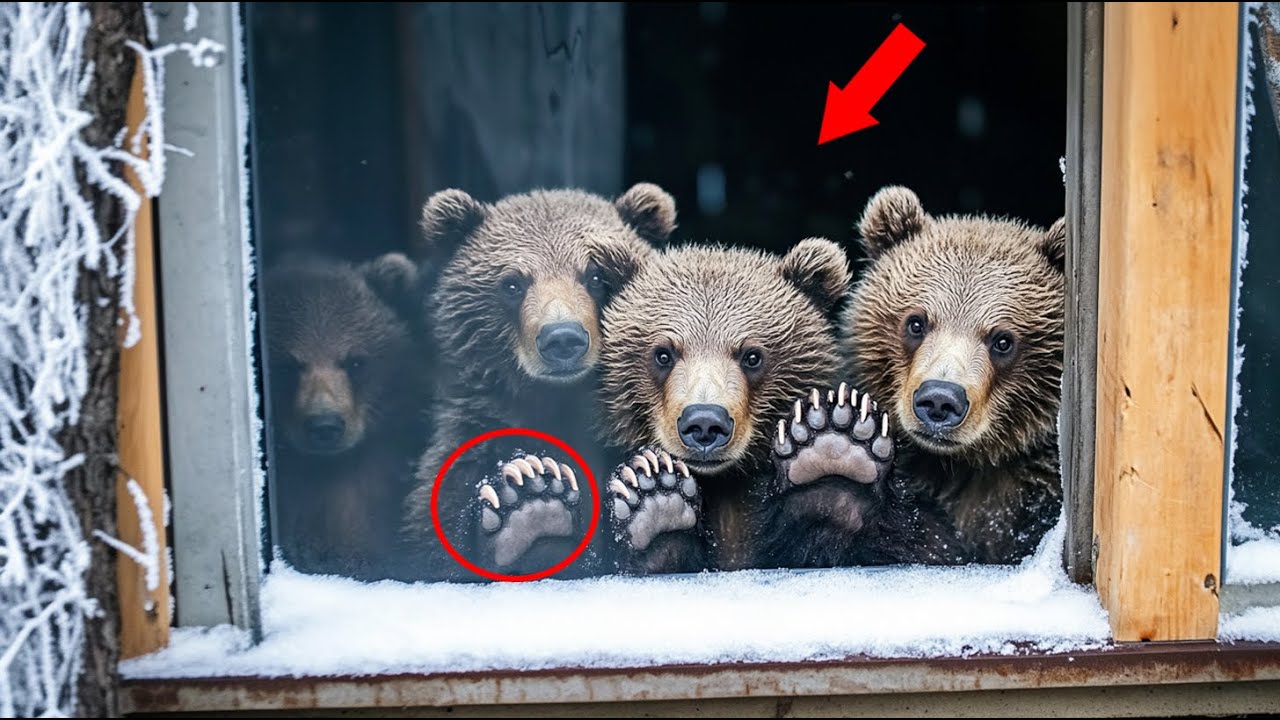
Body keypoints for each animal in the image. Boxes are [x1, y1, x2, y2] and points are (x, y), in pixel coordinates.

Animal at [401, 184, 677, 579]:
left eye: (596, 276)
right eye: (512, 283)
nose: (562, 338)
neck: (558, 402)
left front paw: (650, 483)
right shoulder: (473, 436)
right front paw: (525, 490)